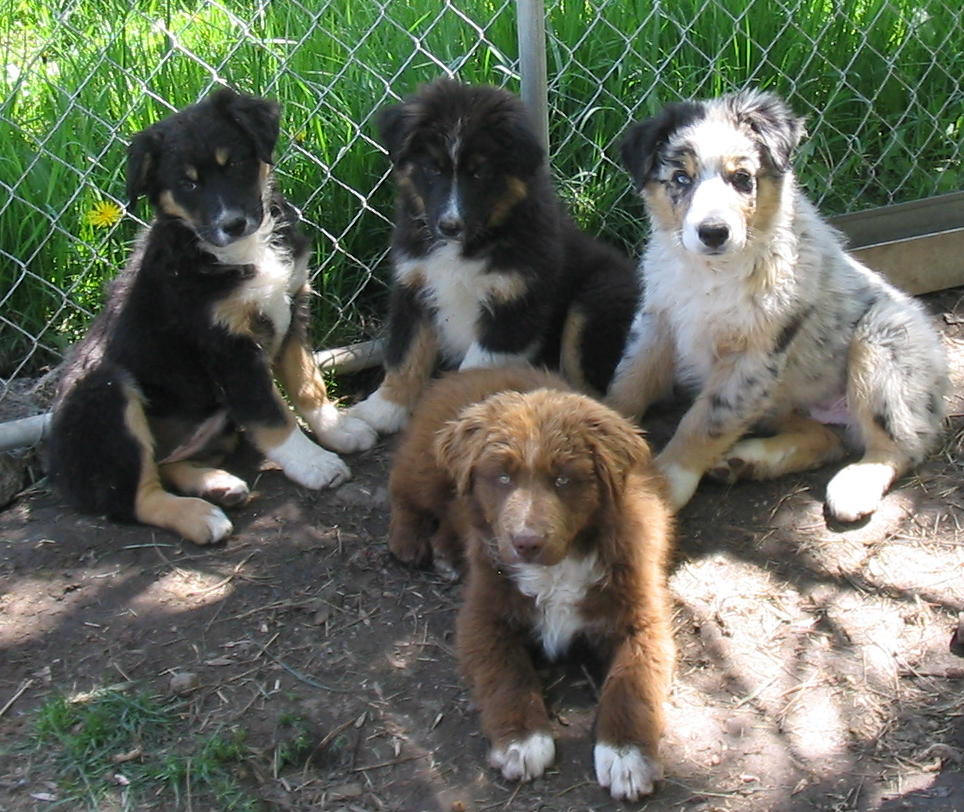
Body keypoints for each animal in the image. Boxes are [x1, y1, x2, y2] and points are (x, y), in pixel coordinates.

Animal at [48, 87, 376, 544]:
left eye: (233, 163)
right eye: (187, 184)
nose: (233, 223)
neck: (240, 252)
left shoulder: (293, 307)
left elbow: (308, 383)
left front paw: (337, 430)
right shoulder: (227, 345)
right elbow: (270, 412)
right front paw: (314, 463)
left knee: (164, 465)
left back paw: (218, 484)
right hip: (106, 390)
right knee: (134, 496)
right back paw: (201, 516)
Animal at [348, 79, 640, 434]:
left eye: (479, 173)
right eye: (432, 169)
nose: (449, 226)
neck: (469, 245)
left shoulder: (514, 306)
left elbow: (474, 371)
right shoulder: (413, 287)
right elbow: (405, 355)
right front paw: (382, 410)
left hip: (596, 299)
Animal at [388, 372, 676, 804]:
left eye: (563, 479)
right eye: (502, 477)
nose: (526, 543)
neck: (558, 568)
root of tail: (461, 374)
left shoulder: (640, 616)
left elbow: (632, 682)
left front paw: (627, 758)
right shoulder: (484, 615)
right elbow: (507, 672)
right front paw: (522, 743)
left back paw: (447, 553)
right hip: (426, 467)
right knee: (403, 491)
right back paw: (408, 540)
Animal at [612, 89, 948, 520]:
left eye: (742, 179)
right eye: (681, 179)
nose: (713, 232)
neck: (713, 273)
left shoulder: (756, 355)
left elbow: (704, 420)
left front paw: (663, 484)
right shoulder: (658, 323)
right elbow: (628, 385)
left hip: (885, 341)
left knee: (901, 444)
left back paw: (854, 486)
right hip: (787, 401)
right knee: (824, 439)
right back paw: (744, 462)